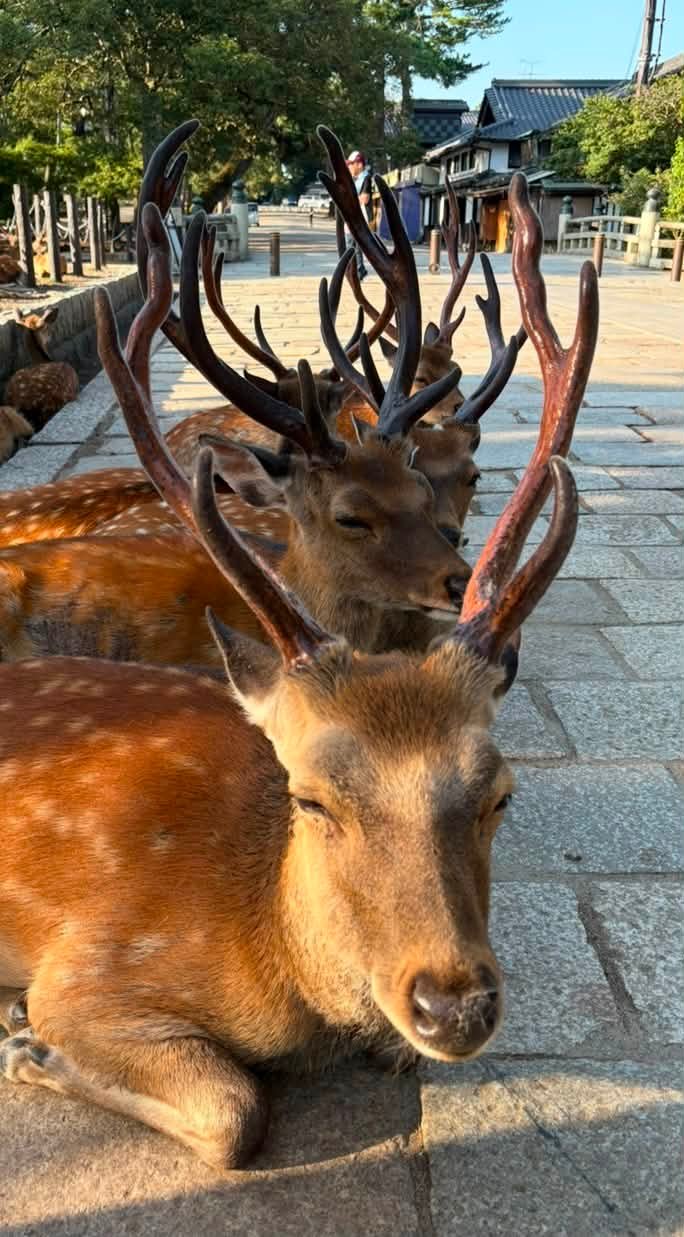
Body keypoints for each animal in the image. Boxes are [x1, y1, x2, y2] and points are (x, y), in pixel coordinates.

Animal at [0, 172, 599, 1168]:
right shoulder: (87, 968)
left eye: (500, 792)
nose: (454, 1004)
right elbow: (233, 1111)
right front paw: (26, 1049)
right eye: (311, 798)